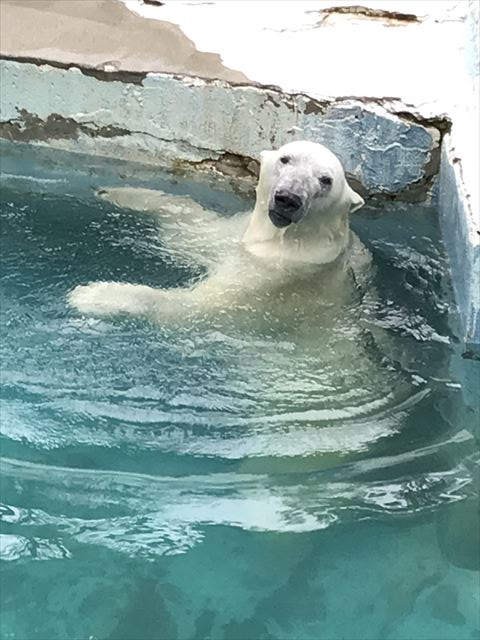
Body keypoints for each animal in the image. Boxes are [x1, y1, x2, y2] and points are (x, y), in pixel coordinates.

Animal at [68, 140, 368, 320]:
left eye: (326, 180)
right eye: (285, 159)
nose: (289, 198)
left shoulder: (277, 274)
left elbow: (199, 304)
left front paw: (94, 295)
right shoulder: (233, 236)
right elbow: (190, 226)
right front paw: (115, 192)